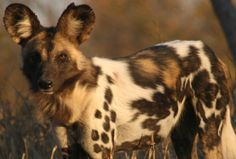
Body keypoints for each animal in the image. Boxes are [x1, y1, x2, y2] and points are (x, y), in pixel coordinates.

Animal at [3, 2, 236, 159]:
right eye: (35, 57)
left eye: (62, 57)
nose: (45, 83)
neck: (72, 99)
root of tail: (206, 49)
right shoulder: (69, 151)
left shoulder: (101, 151)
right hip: (182, 138)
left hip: (209, 135)